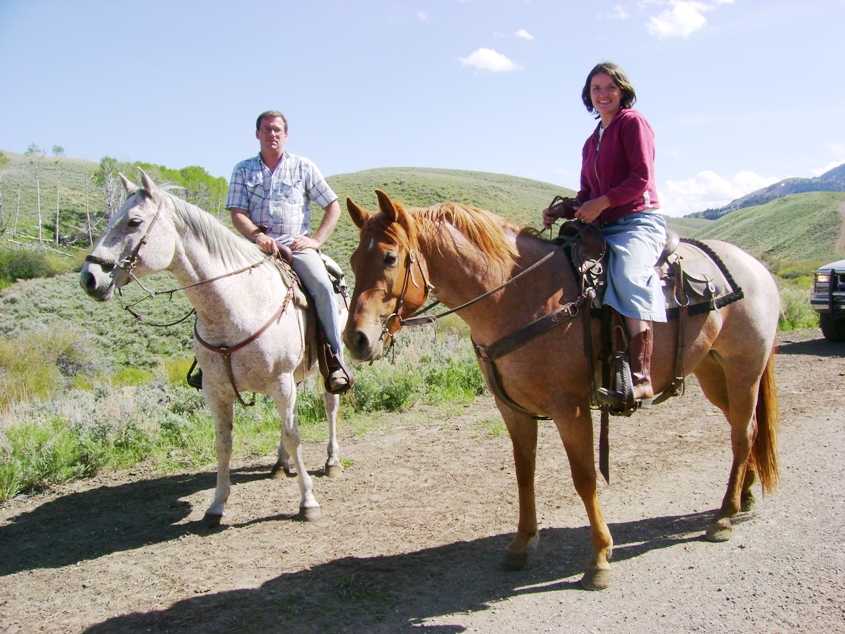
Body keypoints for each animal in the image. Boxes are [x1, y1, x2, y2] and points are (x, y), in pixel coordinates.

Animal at [80, 168, 342, 524]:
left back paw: (332, 460)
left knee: (330, 405)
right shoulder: (217, 391)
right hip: (295, 377)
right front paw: (217, 505)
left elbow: (294, 436)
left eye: (134, 222)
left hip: (321, 369)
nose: (89, 277)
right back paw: (280, 464)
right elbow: (224, 444)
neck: (236, 305)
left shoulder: (280, 382)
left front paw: (307, 501)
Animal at [342, 190, 780, 592]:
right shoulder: (513, 410)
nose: (355, 340)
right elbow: (524, 473)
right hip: (713, 373)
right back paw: (744, 495)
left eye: (389, 258)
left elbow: (584, 477)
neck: (516, 295)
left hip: (743, 369)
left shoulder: (570, 408)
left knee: (742, 435)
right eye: (352, 261)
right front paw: (521, 543)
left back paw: (723, 516)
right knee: (746, 430)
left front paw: (599, 556)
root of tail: (754, 266)